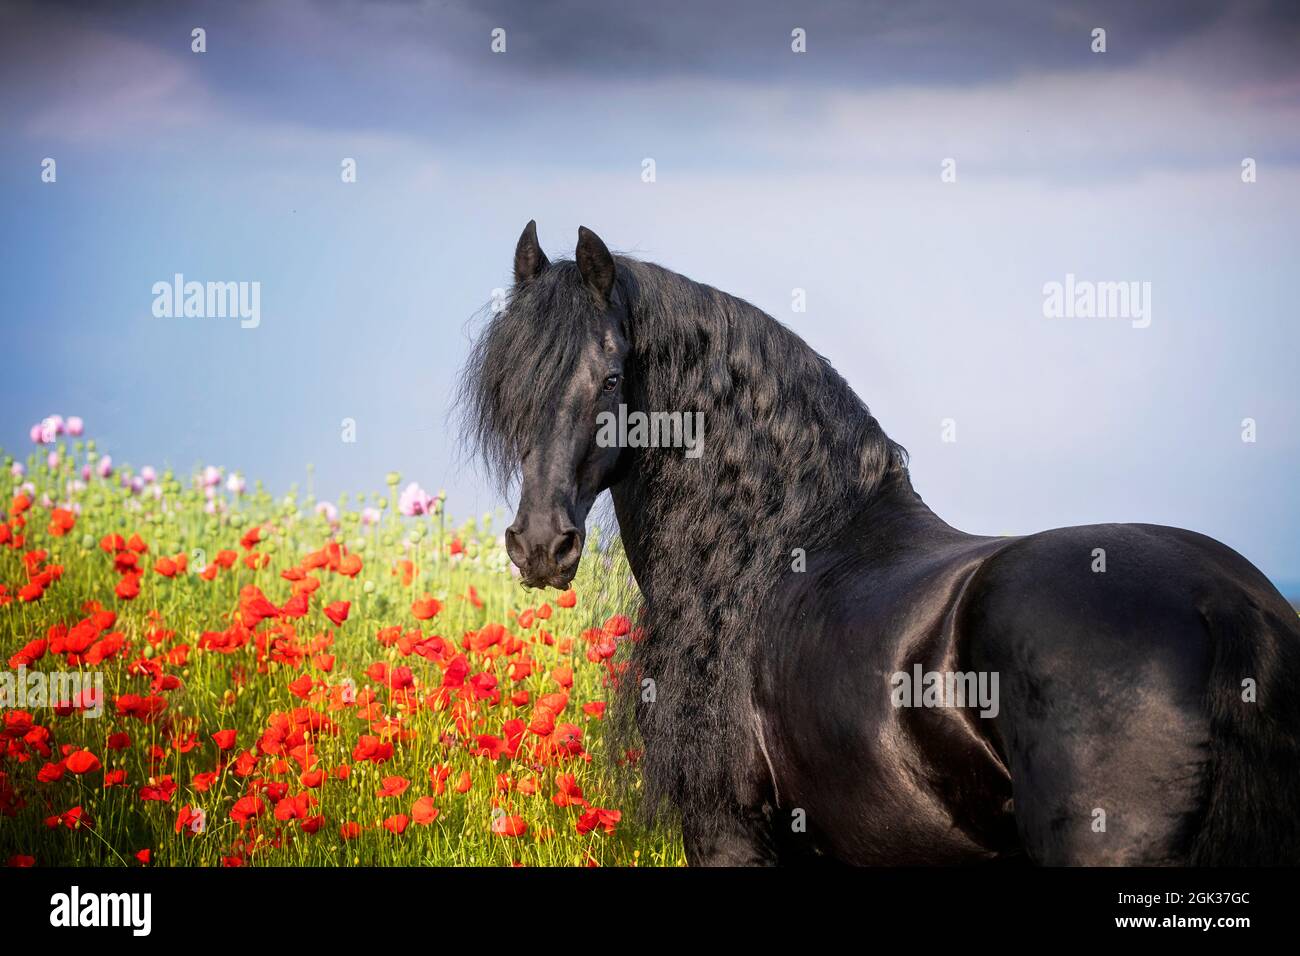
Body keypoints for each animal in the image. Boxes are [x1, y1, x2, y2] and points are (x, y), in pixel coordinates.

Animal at [459, 221, 1300, 866]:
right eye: (507, 384)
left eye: (610, 379)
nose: (540, 546)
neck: (765, 550)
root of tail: (1223, 603)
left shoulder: (732, 834)